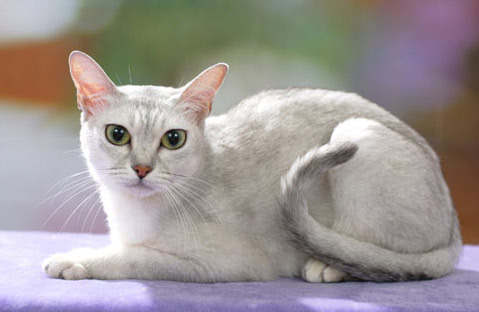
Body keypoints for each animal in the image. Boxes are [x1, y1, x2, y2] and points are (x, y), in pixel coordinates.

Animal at [42, 50, 462, 282]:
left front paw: (73, 260)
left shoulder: (220, 263)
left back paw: (328, 266)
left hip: (357, 132)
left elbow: (133, 258)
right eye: (117, 135)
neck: (132, 214)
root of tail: (455, 230)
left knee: (363, 250)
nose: (142, 169)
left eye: (173, 140)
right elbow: (118, 249)